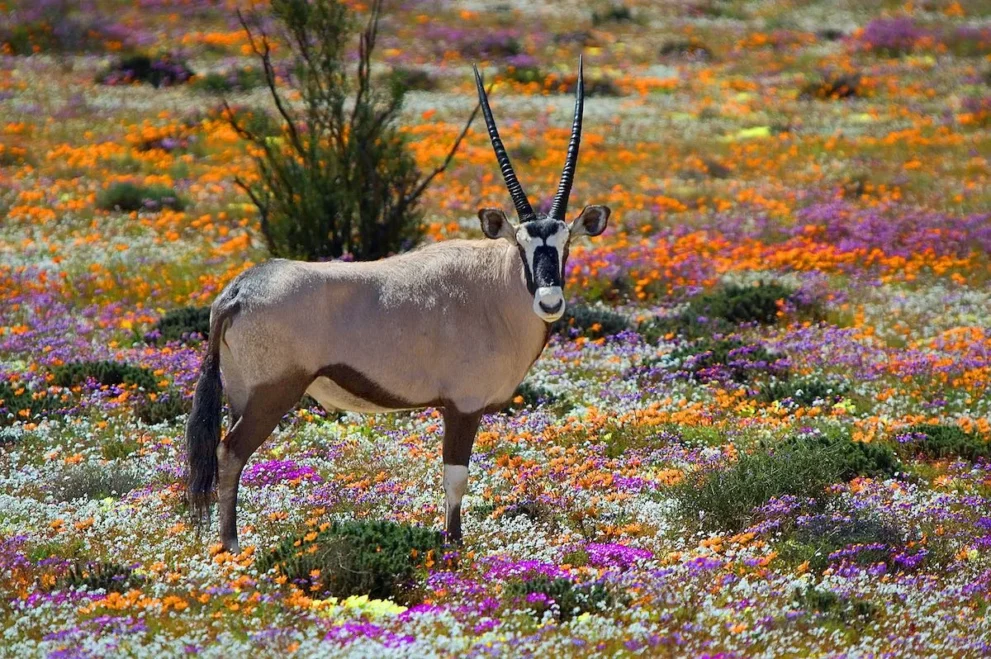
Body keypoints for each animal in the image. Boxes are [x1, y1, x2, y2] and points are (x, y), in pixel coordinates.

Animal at [184, 60, 604, 552]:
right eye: (521, 244)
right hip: (273, 394)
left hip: (241, 395)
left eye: (566, 244)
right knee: (230, 452)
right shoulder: (462, 406)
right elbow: (455, 478)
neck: (495, 290)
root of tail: (238, 290)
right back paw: (231, 547)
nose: (549, 299)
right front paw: (453, 549)